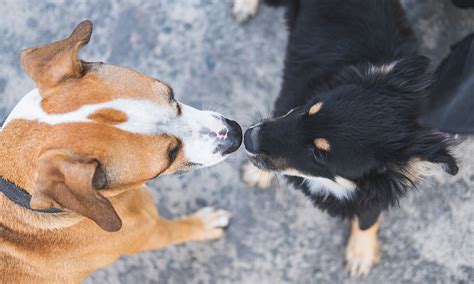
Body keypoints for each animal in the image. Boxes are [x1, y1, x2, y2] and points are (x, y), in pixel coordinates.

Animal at [0, 20, 243, 282]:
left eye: (171, 95)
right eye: (170, 155)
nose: (237, 133)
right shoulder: (151, 232)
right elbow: (179, 229)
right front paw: (205, 224)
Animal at [239, 0, 462, 276]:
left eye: (320, 154)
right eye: (309, 108)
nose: (248, 137)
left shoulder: (376, 189)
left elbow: (367, 218)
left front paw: (360, 253)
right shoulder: (287, 100)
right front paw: (257, 174)